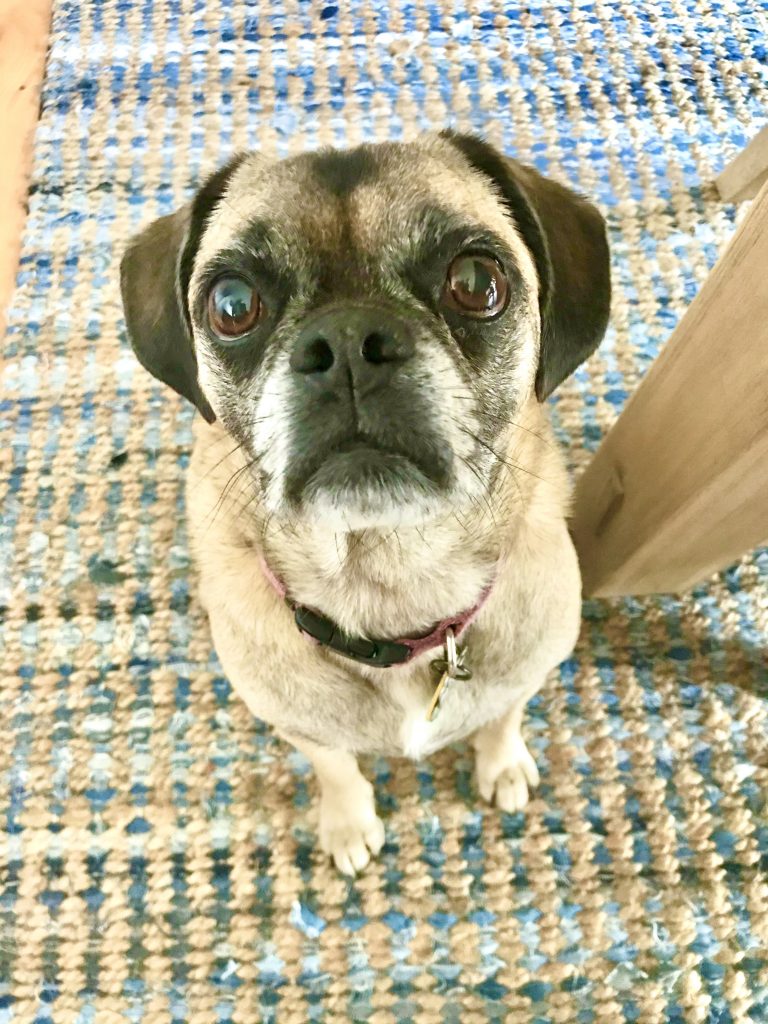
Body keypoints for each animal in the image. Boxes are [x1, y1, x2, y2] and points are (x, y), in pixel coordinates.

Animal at [120, 132, 610, 874]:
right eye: (232, 305)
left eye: (476, 283)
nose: (348, 340)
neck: (393, 586)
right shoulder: (302, 727)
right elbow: (337, 768)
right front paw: (349, 824)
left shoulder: (525, 673)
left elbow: (502, 717)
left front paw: (501, 764)